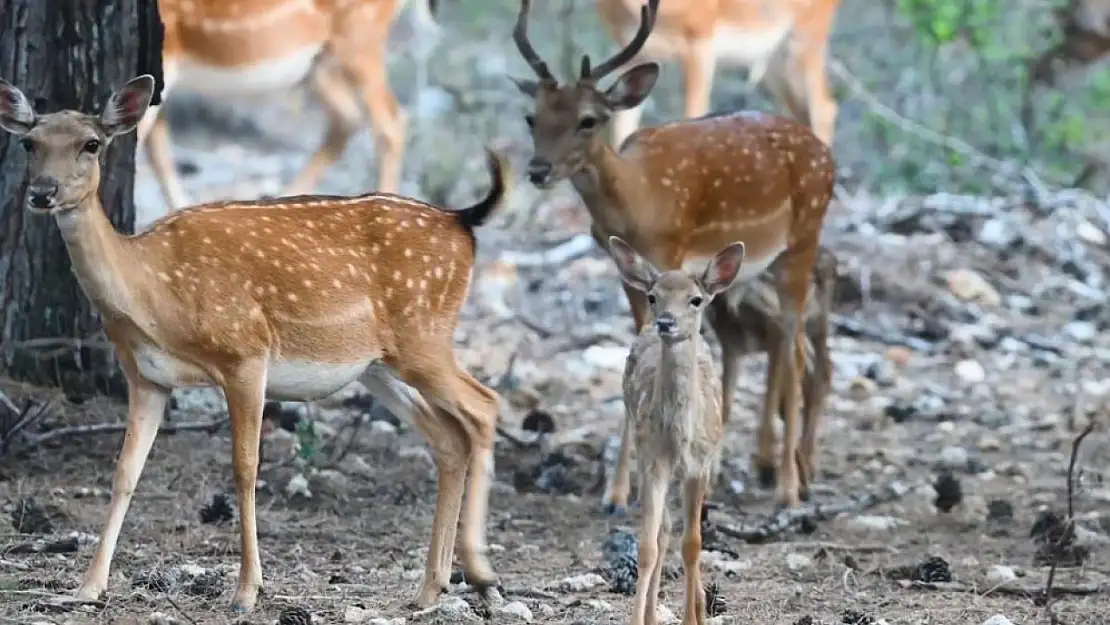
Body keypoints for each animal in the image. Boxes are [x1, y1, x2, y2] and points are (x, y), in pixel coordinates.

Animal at [0, 74, 508, 617]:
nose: (43, 192)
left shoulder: (244, 353)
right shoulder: (146, 376)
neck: (151, 294)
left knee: (484, 406)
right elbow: (124, 473)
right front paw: (88, 587)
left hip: (424, 335)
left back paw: (480, 572)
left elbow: (245, 469)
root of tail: (462, 222)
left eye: (91, 143)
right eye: (30, 143)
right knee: (448, 438)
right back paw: (431, 588)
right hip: (378, 365)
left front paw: (247, 590)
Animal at [590, 0, 839, 148]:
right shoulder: (631, 50)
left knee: (824, 109)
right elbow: (621, 132)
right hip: (772, 59)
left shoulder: (700, 45)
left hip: (803, 41)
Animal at [612, 236, 741, 625]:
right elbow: (647, 546)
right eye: (653, 296)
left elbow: (694, 544)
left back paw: (700, 605)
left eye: (695, 299)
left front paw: (691, 618)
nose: (666, 323)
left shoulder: (699, 467)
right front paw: (639, 619)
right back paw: (656, 614)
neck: (678, 437)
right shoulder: (653, 462)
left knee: (683, 535)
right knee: (665, 531)